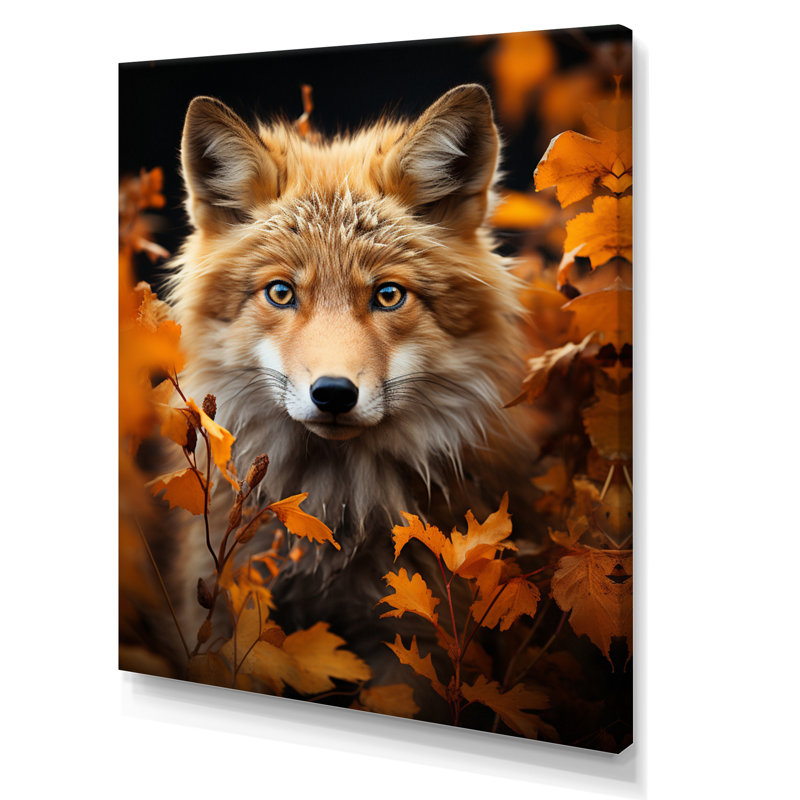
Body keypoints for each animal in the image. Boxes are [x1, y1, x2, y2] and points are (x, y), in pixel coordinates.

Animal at [165, 84, 539, 672]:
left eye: (388, 295)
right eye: (281, 292)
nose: (334, 394)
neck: (338, 514)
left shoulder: (411, 642)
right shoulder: (222, 613)